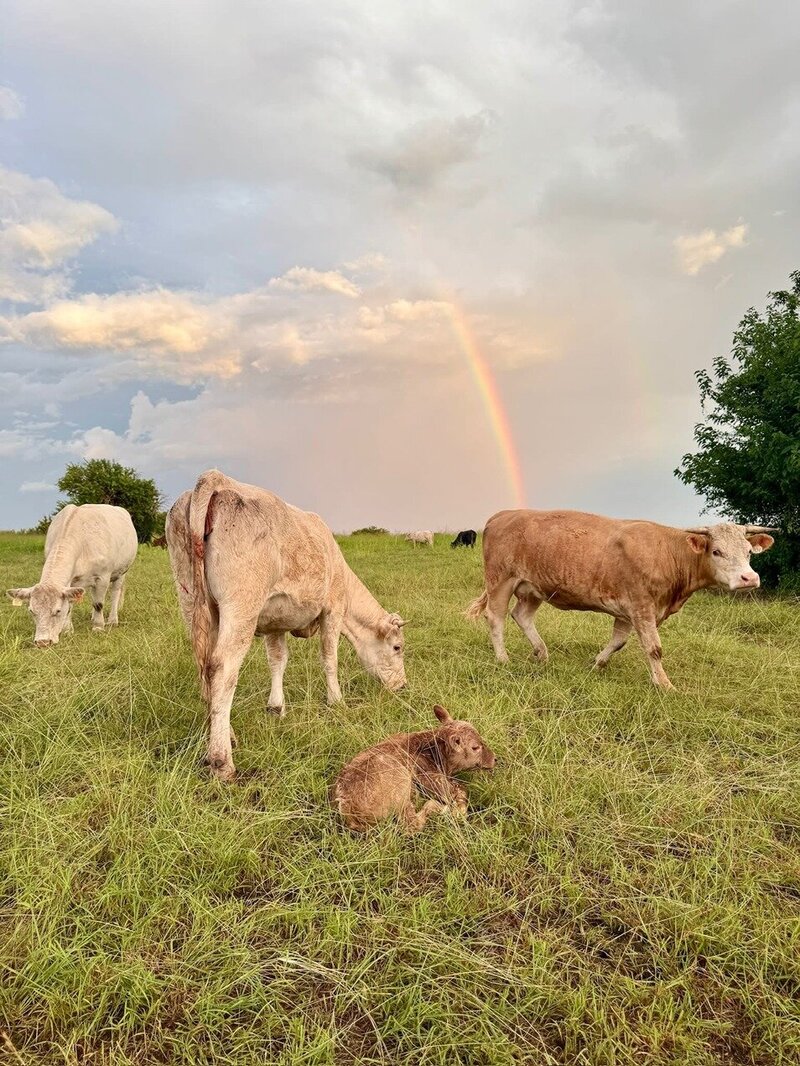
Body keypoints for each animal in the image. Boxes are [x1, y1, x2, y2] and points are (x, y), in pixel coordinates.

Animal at [7, 504, 138, 647]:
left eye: (57, 611)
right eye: (31, 611)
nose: (42, 642)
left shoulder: (102, 577)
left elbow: (99, 604)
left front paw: (98, 627)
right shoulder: (70, 582)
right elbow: (70, 605)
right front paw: (67, 630)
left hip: (122, 571)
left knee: (115, 593)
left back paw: (112, 620)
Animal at [166, 469, 408, 781]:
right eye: (397, 647)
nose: (402, 685)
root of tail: (217, 480)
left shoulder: (274, 622)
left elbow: (277, 660)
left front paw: (276, 708)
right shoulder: (332, 610)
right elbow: (329, 658)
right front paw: (336, 701)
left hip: (192, 600)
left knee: (204, 667)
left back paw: (227, 736)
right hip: (242, 603)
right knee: (221, 668)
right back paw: (221, 760)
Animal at [332, 704, 496, 833]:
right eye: (475, 747)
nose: (494, 759)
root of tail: (348, 807)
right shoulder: (430, 778)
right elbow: (460, 790)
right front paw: (458, 812)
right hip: (401, 786)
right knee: (411, 824)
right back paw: (434, 806)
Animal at [467, 509, 776, 690]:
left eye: (749, 551)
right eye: (717, 551)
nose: (749, 578)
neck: (668, 553)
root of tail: (503, 514)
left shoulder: (627, 610)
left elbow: (618, 642)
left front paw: (597, 664)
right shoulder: (641, 606)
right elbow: (654, 649)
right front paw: (665, 686)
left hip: (533, 587)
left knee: (522, 616)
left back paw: (542, 653)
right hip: (501, 580)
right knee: (496, 617)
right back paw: (503, 658)